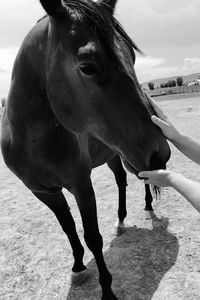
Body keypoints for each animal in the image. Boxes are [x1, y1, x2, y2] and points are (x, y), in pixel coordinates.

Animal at [0, 1, 171, 298]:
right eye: (87, 67)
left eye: (132, 58)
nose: (161, 153)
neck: (31, 140)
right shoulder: (44, 192)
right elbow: (68, 228)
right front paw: (78, 266)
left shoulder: (81, 185)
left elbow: (93, 237)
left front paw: (107, 290)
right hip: (115, 155)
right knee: (121, 180)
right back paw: (121, 221)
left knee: (141, 182)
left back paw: (148, 207)